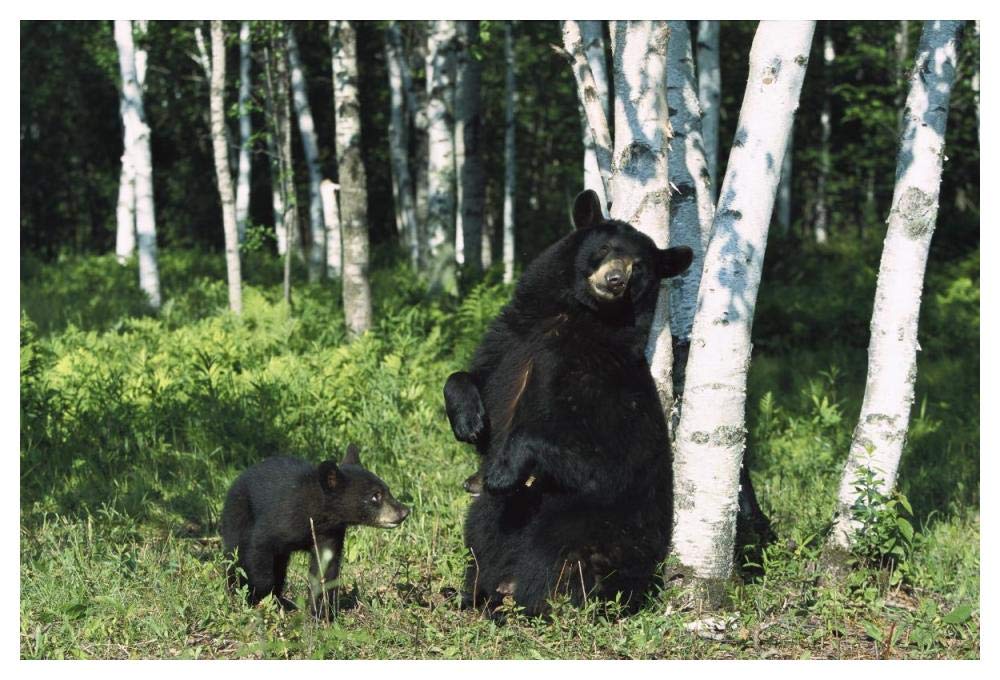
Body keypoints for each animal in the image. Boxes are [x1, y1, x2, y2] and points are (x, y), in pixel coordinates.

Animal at [220, 444, 410, 616]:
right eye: (375, 496)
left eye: (387, 490)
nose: (404, 511)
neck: (316, 515)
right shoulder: (279, 520)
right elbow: (258, 549)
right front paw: (258, 597)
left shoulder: (329, 533)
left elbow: (324, 569)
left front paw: (322, 612)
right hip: (238, 513)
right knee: (235, 554)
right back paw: (236, 590)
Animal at [444, 189, 693, 616]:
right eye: (606, 247)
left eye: (639, 265)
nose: (615, 279)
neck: (570, 319)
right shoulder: (512, 341)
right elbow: (476, 379)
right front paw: (468, 420)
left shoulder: (601, 385)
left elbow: (599, 460)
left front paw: (504, 469)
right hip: (500, 518)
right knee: (482, 530)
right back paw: (473, 593)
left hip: (593, 529)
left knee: (551, 551)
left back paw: (527, 601)